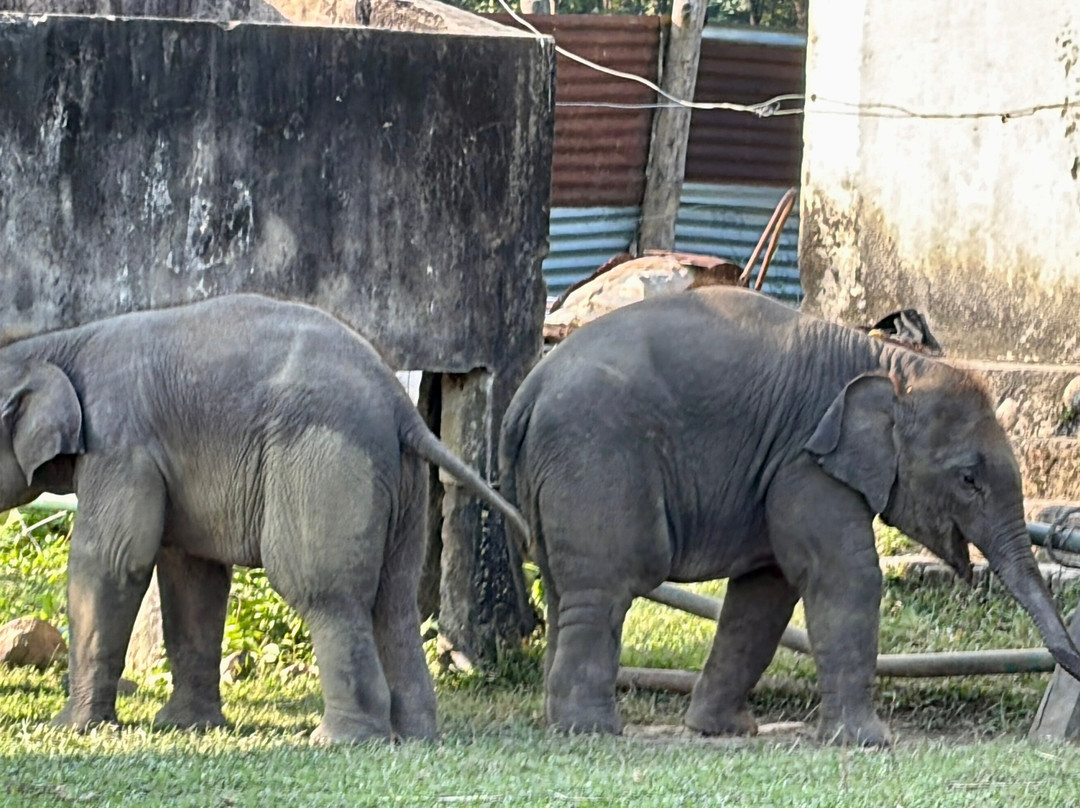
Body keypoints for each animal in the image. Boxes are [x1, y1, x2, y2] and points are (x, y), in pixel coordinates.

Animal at [0, 293, 528, 744]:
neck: (58, 344)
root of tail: (400, 402)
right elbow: (193, 577)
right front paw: (186, 727)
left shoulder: (119, 444)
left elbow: (111, 564)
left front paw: (71, 728)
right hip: (403, 480)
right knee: (394, 599)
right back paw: (415, 736)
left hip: (320, 461)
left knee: (324, 592)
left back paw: (338, 741)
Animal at [498, 285, 1080, 746]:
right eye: (968, 479)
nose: (1070, 661)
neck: (890, 361)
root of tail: (526, 393)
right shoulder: (806, 461)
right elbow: (844, 575)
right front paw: (869, 741)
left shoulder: (779, 467)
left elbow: (766, 591)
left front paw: (724, 730)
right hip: (595, 461)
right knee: (605, 588)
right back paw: (592, 730)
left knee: (564, 589)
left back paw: (563, 721)